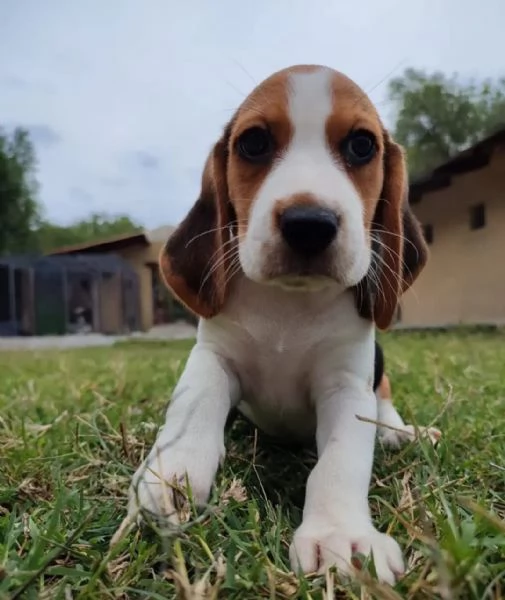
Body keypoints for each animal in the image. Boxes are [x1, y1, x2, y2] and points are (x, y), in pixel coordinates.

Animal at [128, 67, 440, 584]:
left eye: (361, 146)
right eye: (253, 143)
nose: (309, 223)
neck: (288, 307)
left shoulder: (346, 384)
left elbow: (341, 458)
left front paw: (339, 535)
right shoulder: (212, 357)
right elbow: (193, 410)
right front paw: (171, 476)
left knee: (384, 397)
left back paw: (399, 432)